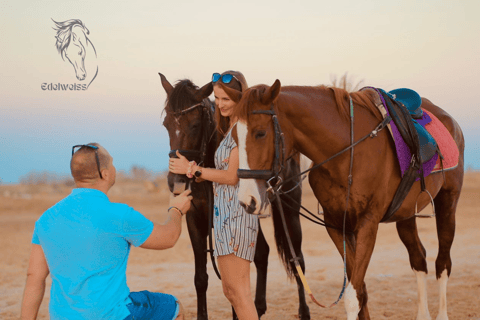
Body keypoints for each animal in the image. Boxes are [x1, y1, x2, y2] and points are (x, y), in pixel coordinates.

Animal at [159, 74, 312, 318]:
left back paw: (302, 311)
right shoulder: (195, 221)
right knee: (263, 254)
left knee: (296, 259)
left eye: (195, 125)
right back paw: (259, 306)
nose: (177, 182)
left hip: (289, 212)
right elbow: (201, 279)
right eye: (166, 125)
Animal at [224, 80, 464, 320]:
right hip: (406, 215)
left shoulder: (368, 224)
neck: (347, 153)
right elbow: (361, 290)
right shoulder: (337, 225)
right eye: (234, 136)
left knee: (443, 263)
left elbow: (352, 296)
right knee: (419, 259)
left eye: (260, 133)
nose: (247, 200)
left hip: (447, 204)